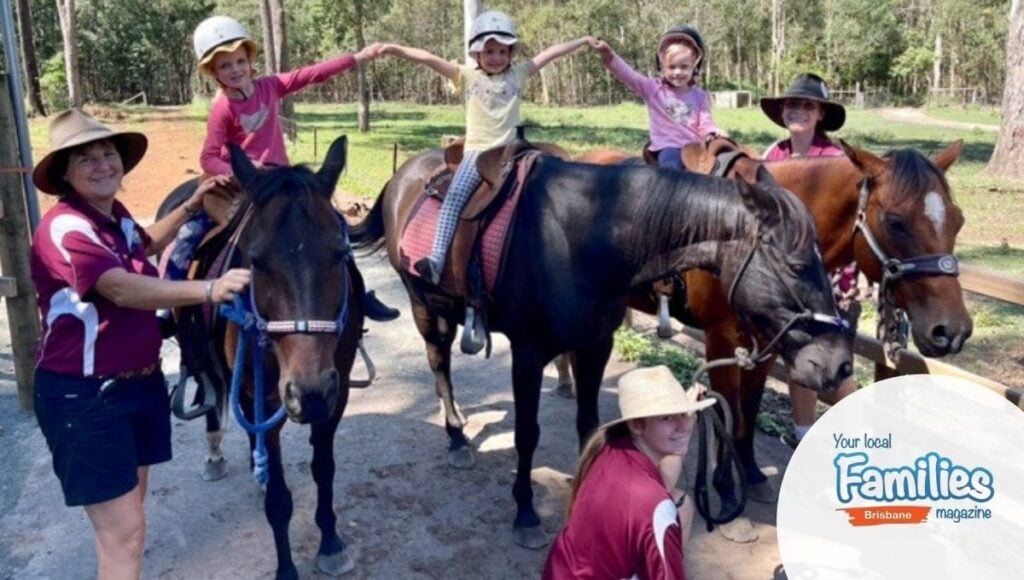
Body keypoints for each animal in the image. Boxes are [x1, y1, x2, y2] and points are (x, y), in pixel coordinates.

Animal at [161, 139, 366, 580]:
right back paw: (216, 454)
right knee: (211, 393)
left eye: (341, 254)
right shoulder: (261, 393)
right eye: (255, 261)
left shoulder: (335, 396)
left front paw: (330, 543)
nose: (308, 391)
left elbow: (324, 469)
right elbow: (279, 499)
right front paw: (286, 568)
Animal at [348, 142, 851, 549]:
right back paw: (455, 437)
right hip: (425, 310)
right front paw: (526, 513)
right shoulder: (528, 353)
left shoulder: (596, 345)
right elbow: (526, 433)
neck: (585, 236)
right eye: (795, 265)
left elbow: (590, 425)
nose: (839, 364)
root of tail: (405, 175)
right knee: (439, 366)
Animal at [577, 138, 966, 506]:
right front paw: (725, 486)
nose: (952, 330)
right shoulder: (720, 338)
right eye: (895, 222)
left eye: (958, 220)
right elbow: (728, 406)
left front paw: (750, 472)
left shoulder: (769, 341)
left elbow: (749, 406)